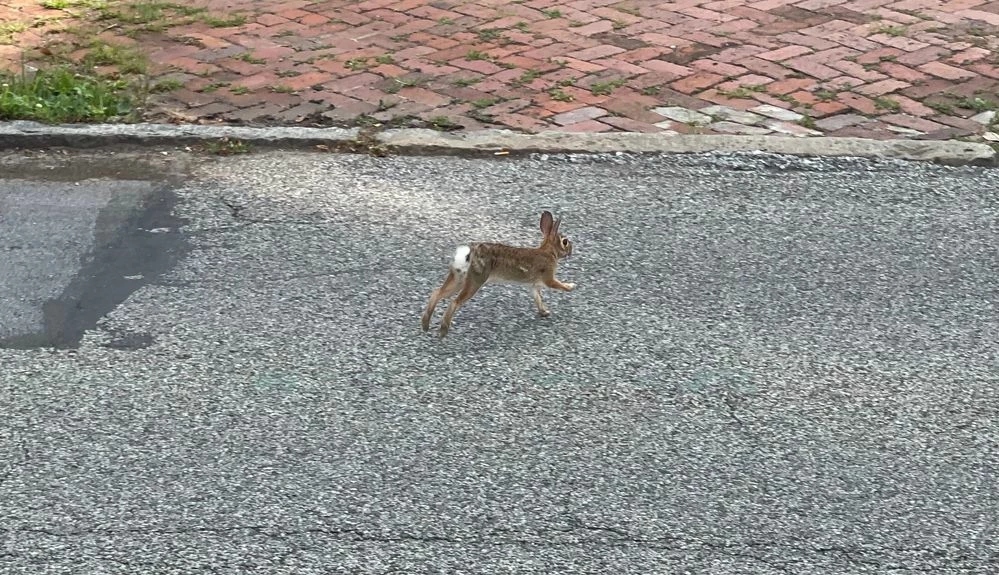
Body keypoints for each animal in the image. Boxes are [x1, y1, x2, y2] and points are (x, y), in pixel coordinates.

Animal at [421, 210, 576, 338]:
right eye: (565, 242)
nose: (571, 251)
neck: (549, 252)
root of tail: (468, 255)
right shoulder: (548, 276)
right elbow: (556, 285)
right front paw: (571, 286)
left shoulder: (532, 285)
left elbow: (538, 298)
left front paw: (544, 312)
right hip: (475, 280)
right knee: (454, 302)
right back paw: (443, 331)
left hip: (458, 279)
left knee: (437, 293)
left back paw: (425, 325)